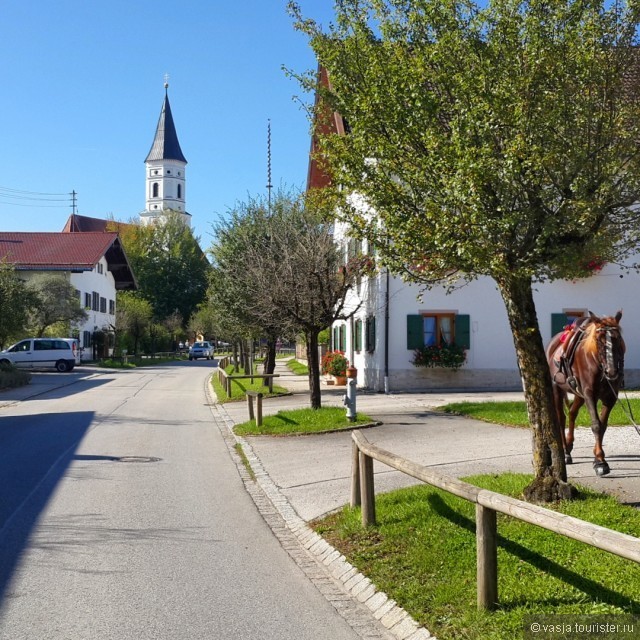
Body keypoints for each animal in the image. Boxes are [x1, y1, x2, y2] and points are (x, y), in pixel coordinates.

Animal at [544, 310, 624, 476]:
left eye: (618, 338)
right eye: (599, 340)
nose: (612, 371)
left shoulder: (610, 397)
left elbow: (603, 425)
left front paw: (597, 457)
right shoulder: (589, 393)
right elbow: (596, 425)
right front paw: (600, 462)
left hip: (578, 394)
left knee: (572, 413)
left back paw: (568, 446)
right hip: (557, 389)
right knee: (561, 418)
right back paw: (565, 454)